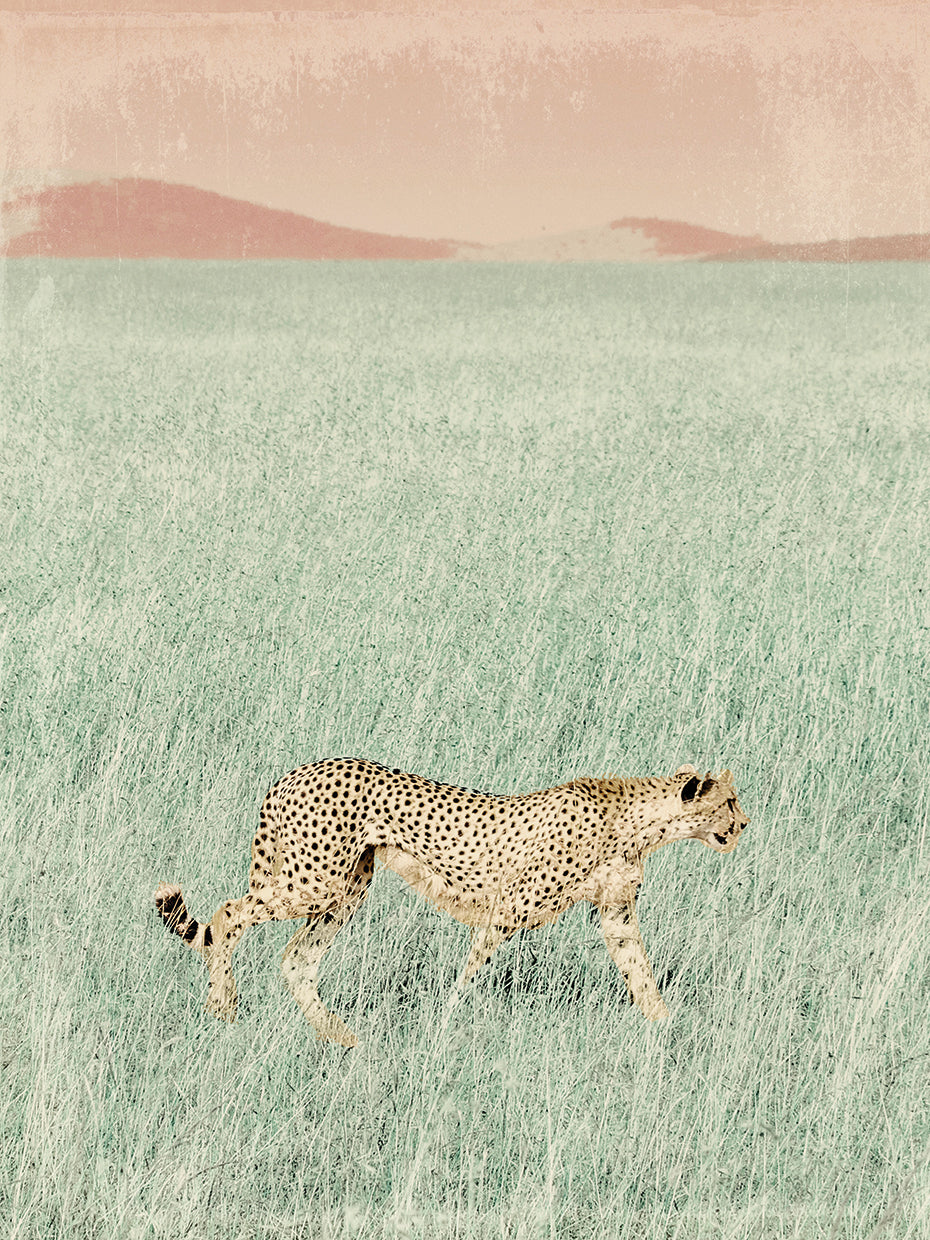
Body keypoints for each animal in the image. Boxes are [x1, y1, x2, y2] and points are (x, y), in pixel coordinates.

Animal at [155, 757, 748, 1047]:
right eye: (728, 802)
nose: (745, 824)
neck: (640, 821)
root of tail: (294, 772)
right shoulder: (507, 911)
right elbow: (470, 974)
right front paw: (446, 1024)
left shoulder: (616, 917)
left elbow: (641, 974)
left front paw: (667, 1029)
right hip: (314, 881)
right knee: (228, 914)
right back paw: (224, 1005)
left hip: (347, 887)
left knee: (296, 959)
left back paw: (344, 1040)